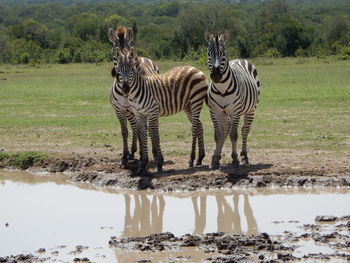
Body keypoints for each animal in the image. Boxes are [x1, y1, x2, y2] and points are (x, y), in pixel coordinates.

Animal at [106, 26, 159, 167]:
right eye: (114, 54)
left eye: (129, 52)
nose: (126, 88)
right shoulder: (119, 109)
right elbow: (125, 131)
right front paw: (125, 156)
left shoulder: (136, 109)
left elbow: (142, 131)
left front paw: (142, 154)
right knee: (135, 128)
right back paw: (133, 152)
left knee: (147, 129)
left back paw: (151, 152)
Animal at [113, 47, 209, 177]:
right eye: (118, 71)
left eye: (132, 69)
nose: (125, 89)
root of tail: (195, 68)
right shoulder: (139, 114)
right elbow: (143, 135)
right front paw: (142, 164)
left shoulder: (153, 111)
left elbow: (155, 134)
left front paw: (159, 162)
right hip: (187, 105)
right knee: (199, 125)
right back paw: (200, 158)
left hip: (196, 101)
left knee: (194, 127)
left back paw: (191, 159)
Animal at [205, 32, 260, 170]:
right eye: (208, 53)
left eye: (223, 53)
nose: (216, 76)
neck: (222, 89)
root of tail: (240, 59)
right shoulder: (215, 112)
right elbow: (218, 135)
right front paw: (215, 159)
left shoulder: (235, 112)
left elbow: (234, 135)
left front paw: (235, 159)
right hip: (225, 114)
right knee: (225, 130)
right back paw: (218, 156)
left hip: (251, 109)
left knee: (244, 130)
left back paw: (244, 155)